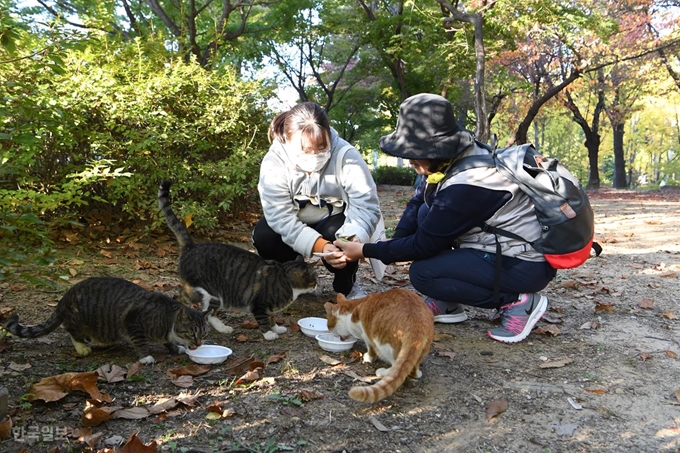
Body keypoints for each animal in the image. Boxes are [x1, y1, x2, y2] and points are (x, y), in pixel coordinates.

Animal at [4, 276, 210, 364]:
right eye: (191, 333)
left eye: (204, 334)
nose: (199, 344)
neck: (166, 318)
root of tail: (65, 297)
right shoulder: (133, 321)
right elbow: (140, 342)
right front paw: (146, 356)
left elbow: (168, 341)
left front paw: (175, 348)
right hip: (81, 320)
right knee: (70, 329)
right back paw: (82, 347)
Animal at [158, 180, 318, 340]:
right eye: (315, 278)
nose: (317, 285)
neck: (286, 278)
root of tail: (191, 246)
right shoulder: (259, 305)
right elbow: (264, 320)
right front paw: (269, 334)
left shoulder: (269, 308)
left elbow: (272, 316)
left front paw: (276, 328)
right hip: (205, 291)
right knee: (185, 301)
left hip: (208, 295)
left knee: (202, 310)